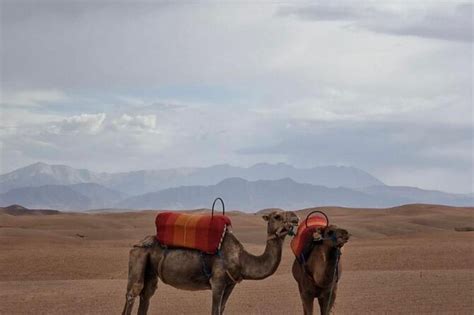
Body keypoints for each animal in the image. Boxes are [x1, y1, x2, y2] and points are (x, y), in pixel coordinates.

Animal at [122, 210, 300, 315]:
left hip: (151, 269)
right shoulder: (218, 282)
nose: (296, 218)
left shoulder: (231, 284)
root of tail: (140, 242)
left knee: (147, 294)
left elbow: (222, 309)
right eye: (277, 216)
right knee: (133, 292)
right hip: (139, 256)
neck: (241, 259)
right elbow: (215, 310)